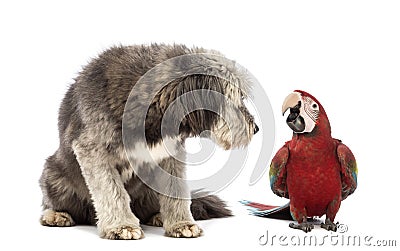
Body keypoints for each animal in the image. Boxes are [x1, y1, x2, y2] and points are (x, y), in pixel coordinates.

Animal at [39, 44, 260, 240]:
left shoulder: (171, 154)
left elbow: (176, 189)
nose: (256, 129)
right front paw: (122, 226)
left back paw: (158, 216)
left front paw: (181, 224)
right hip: (53, 174)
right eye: (237, 97)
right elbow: (112, 191)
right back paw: (56, 214)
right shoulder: (92, 150)